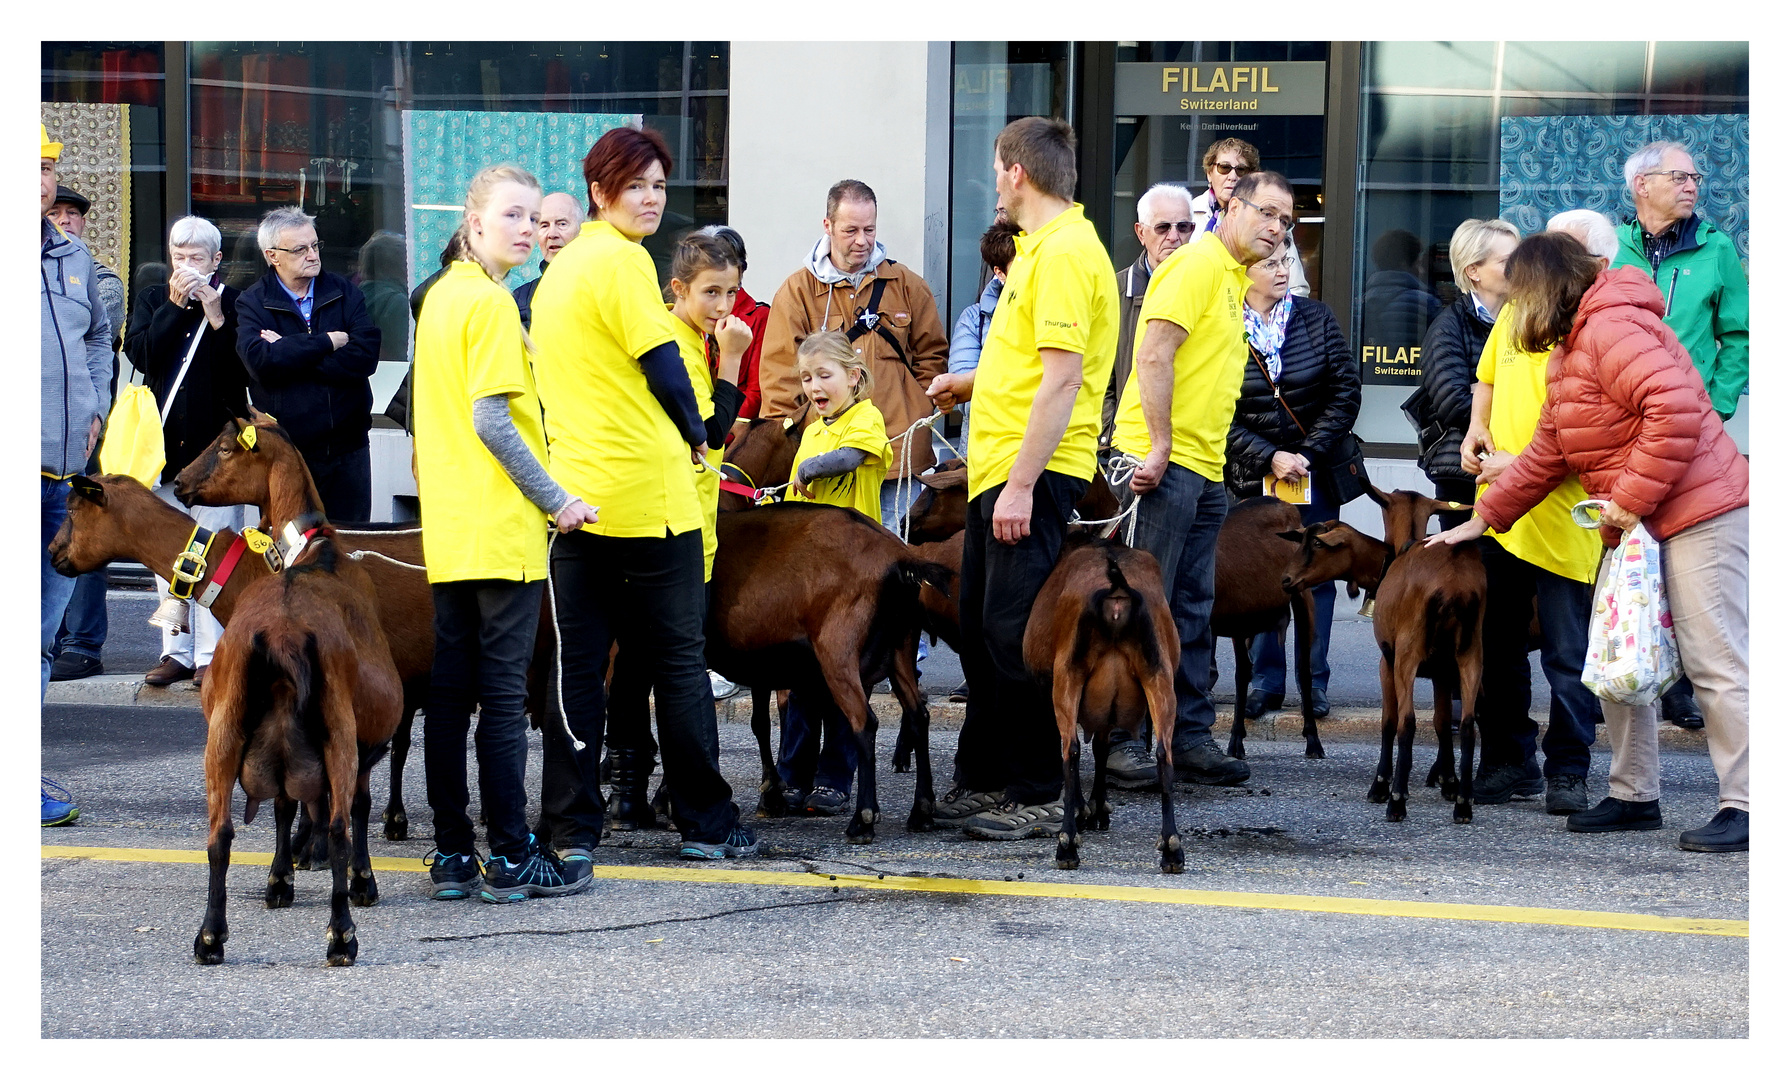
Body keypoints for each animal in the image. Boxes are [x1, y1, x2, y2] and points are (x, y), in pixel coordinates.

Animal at [196, 487, 406, 960]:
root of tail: (282, 635)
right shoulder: (362, 747)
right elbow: (358, 807)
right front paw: (363, 882)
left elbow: (282, 807)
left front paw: (279, 881)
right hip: (338, 733)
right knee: (339, 827)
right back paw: (342, 937)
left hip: (223, 734)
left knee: (220, 835)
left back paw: (210, 938)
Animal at [705, 501, 952, 841]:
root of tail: (900, 558)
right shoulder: (761, 664)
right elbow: (761, 724)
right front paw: (772, 795)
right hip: (901, 649)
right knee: (918, 716)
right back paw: (922, 811)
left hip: (838, 650)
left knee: (864, 721)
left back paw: (863, 820)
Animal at [1031, 537, 1181, 874]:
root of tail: (1116, 590)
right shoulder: (1107, 710)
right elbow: (1101, 749)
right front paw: (1098, 808)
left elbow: (1089, 749)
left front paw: (1088, 810)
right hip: (1158, 670)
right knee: (1164, 753)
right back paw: (1172, 849)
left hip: (1068, 673)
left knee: (1070, 750)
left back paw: (1067, 845)